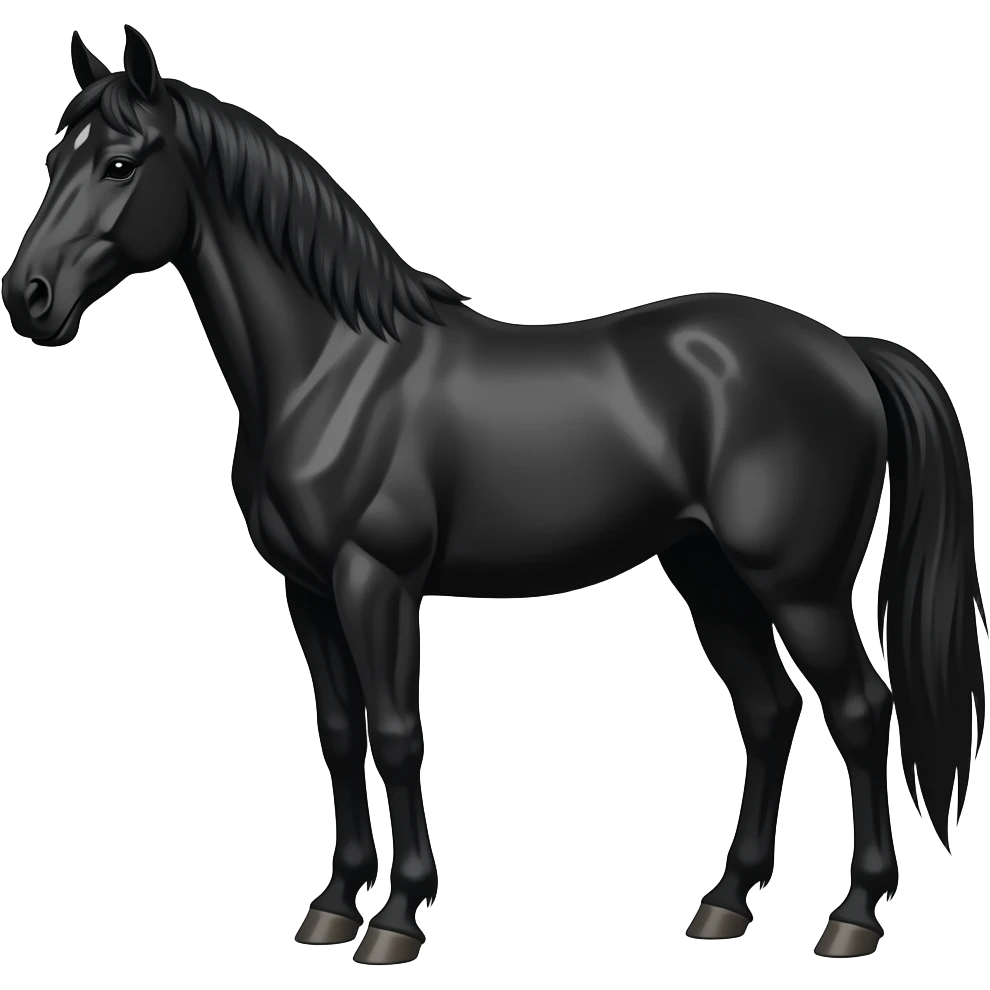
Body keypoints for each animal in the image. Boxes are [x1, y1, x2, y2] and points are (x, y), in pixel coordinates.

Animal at [2, 26, 985, 964]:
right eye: (54, 158)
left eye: (121, 163)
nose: (28, 298)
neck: (332, 369)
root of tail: (847, 351)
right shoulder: (307, 589)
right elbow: (339, 731)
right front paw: (331, 906)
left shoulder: (377, 581)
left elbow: (397, 732)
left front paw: (397, 918)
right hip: (707, 569)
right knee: (770, 709)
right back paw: (724, 905)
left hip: (798, 585)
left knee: (861, 711)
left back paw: (853, 917)